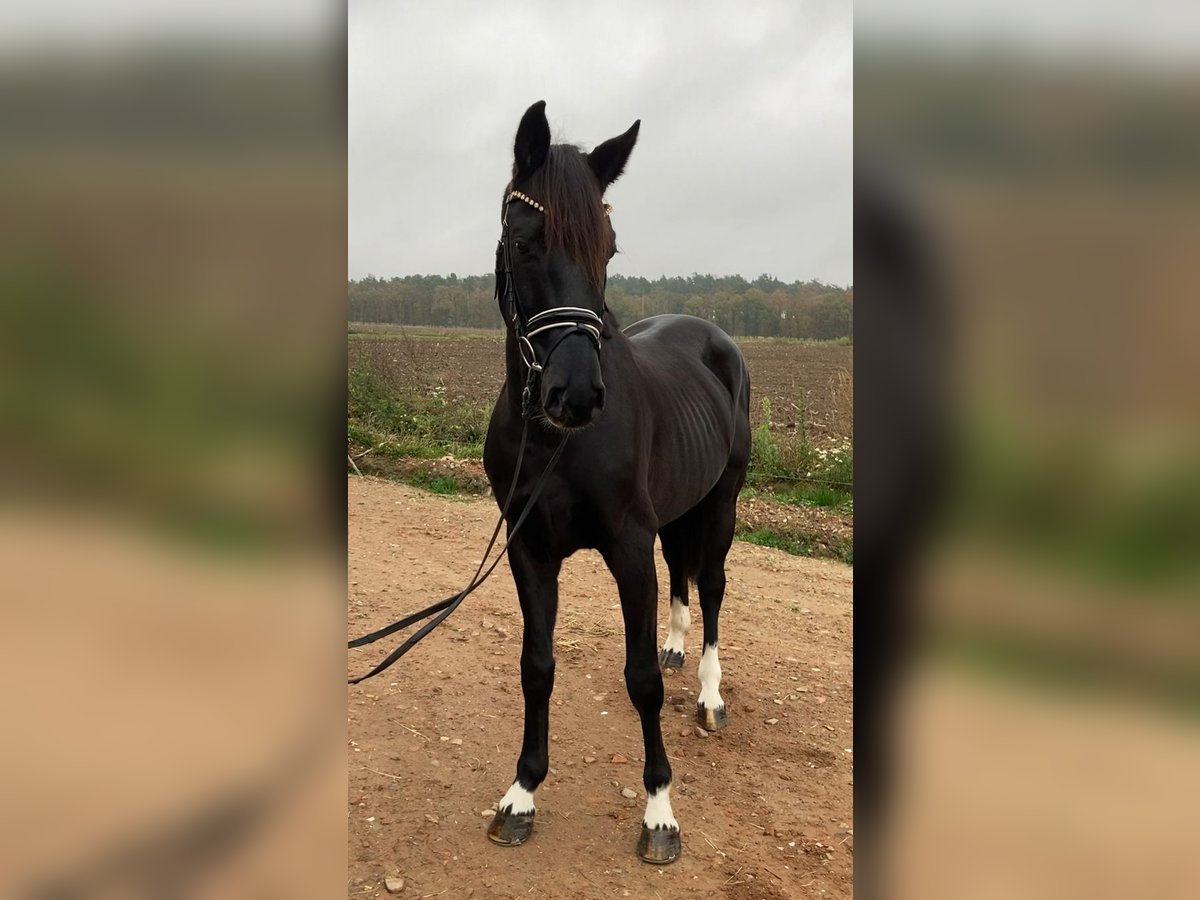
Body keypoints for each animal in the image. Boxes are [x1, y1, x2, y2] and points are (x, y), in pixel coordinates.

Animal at [480, 100, 744, 868]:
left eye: (610, 247)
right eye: (523, 240)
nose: (575, 395)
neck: (556, 444)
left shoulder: (628, 549)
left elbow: (642, 681)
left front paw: (659, 814)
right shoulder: (528, 548)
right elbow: (536, 665)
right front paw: (521, 794)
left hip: (723, 504)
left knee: (711, 588)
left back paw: (709, 695)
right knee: (684, 576)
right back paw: (679, 644)